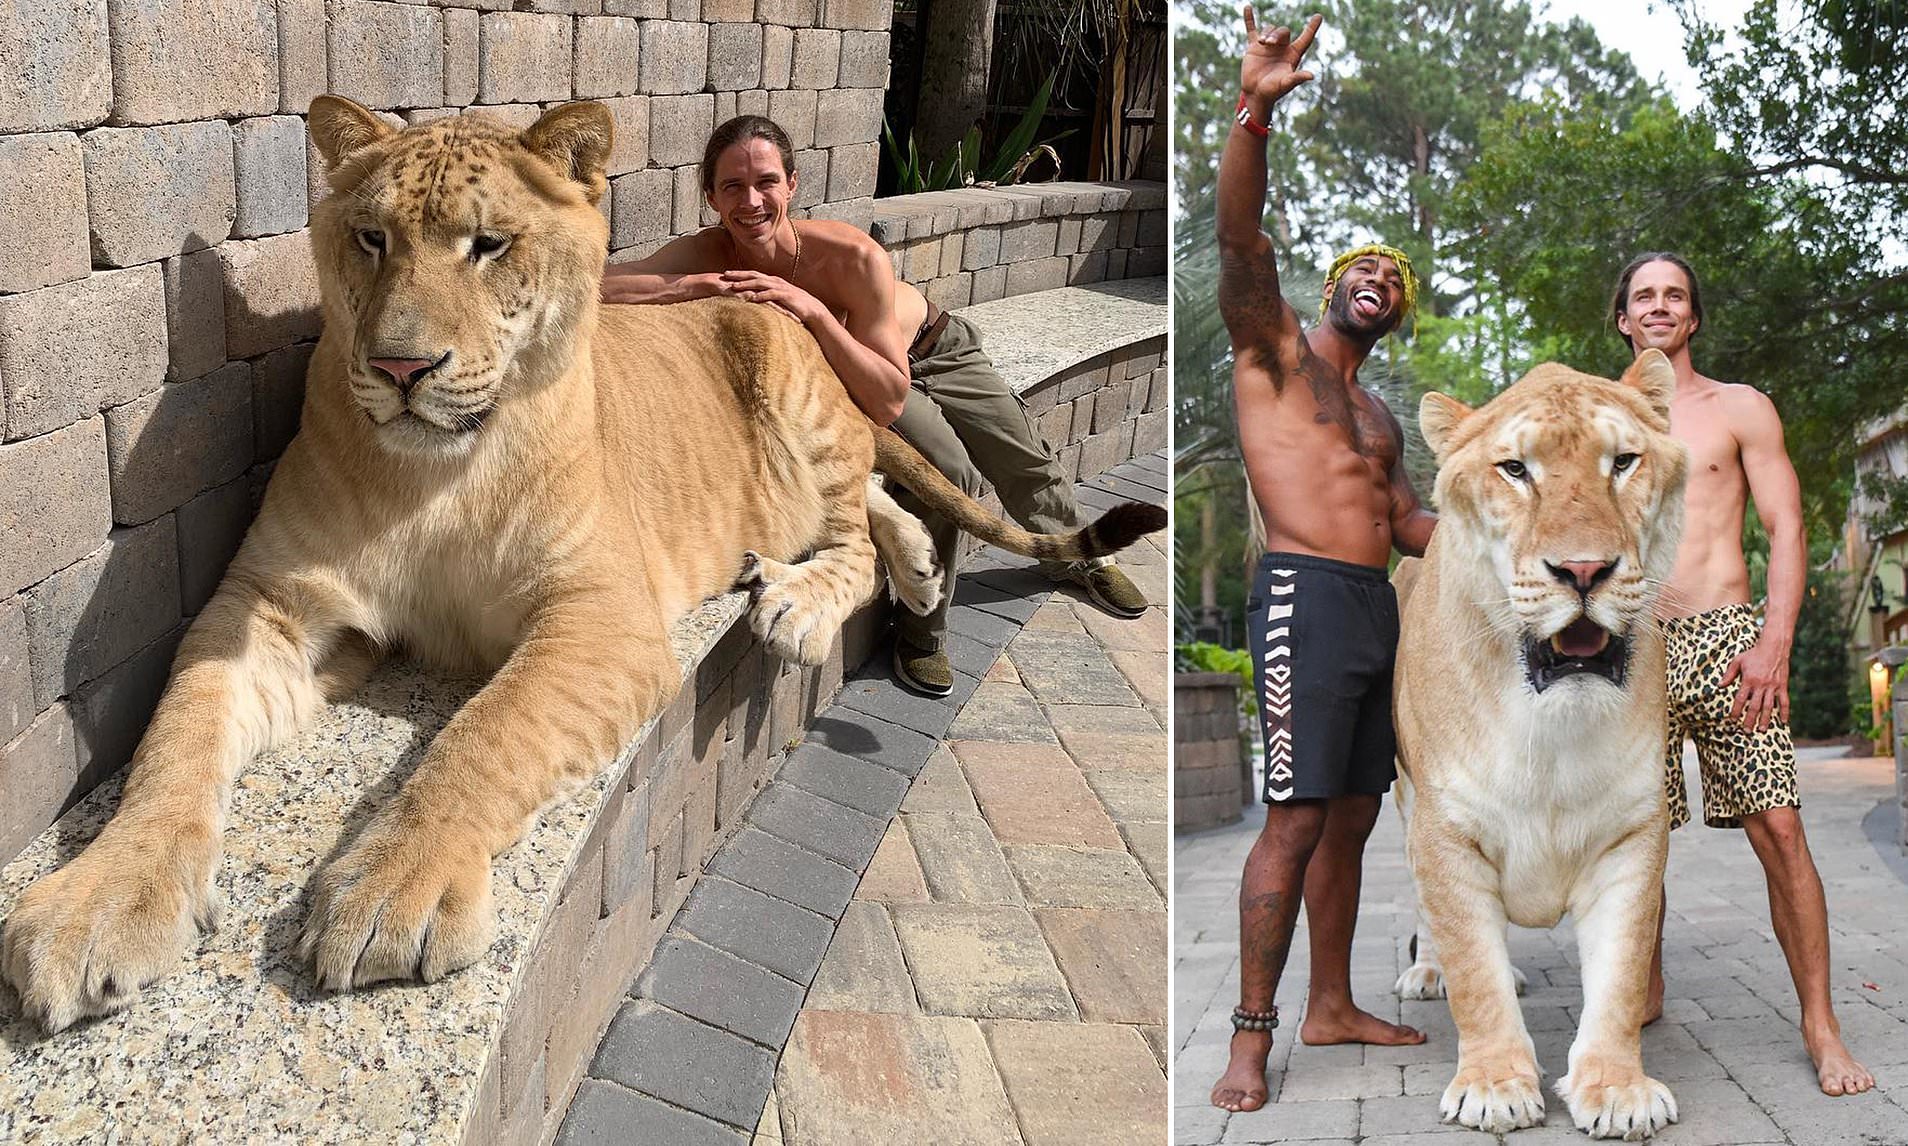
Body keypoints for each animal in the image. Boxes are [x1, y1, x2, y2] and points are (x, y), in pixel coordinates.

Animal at [0, 98, 1163, 1034]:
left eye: (489, 245)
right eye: (371, 238)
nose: (401, 368)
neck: (434, 477)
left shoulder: (603, 614)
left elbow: (486, 734)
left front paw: (390, 892)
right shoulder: (268, 606)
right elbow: (175, 738)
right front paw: (95, 907)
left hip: (791, 384)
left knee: (848, 528)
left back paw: (805, 603)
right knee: (876, 501)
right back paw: (916, 566)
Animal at [1389, 351, 1689, 1138]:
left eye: (1623, 461)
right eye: (1516, 470)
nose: (1583, 572)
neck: (1550, 729)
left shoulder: (1632, 835)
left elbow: (1620, 976)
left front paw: (1617, 1090)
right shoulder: (1444, 830)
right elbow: (1475, 967)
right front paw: (1494, 1086)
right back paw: (1428, 973)